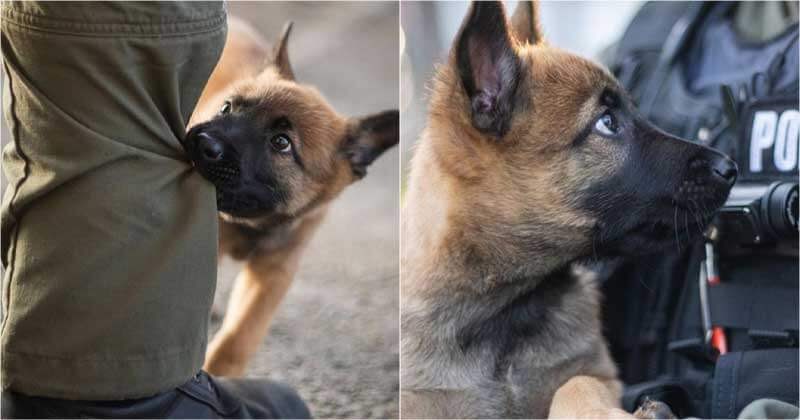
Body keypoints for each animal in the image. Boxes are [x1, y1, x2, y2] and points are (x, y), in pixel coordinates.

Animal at [187, 18, 400, 376]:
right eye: (227, 107)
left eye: (281, 143)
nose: (203, 143)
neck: (256, 225)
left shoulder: (274, 273)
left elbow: (241, 335)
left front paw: (219, 373)